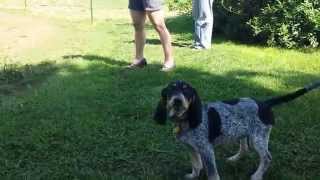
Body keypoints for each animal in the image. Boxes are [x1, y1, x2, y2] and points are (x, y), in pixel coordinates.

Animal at [154, 80, 318, 180]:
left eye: (187, 92)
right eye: (170, 91)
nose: (177, 101)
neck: (185, 120)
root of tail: (264, 103)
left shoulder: (206, 150)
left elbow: (212, 173)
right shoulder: (191, 147)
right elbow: (196, 165)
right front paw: (193, 176)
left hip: (258, 138)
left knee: (267, 158)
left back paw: (257, 176)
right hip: (243, 133)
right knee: (244, 149)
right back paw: (235, 159)